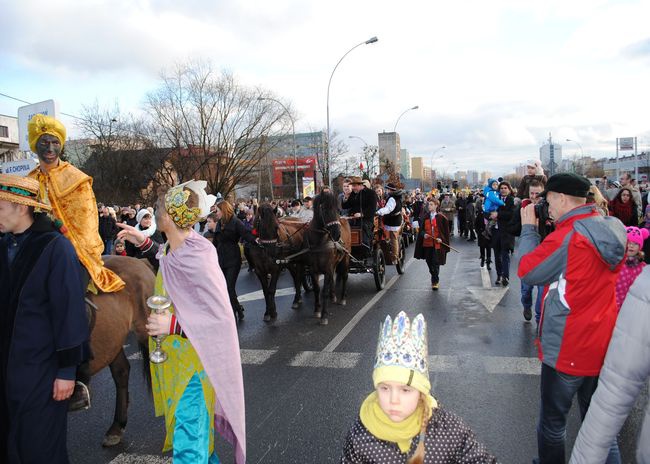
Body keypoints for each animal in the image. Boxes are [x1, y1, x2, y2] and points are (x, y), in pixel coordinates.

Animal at [302, 190, 350, 324]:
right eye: (324, 210)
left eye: (337, 209)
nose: (337, 234)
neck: (319, 242)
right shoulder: (313, 269)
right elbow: (317, 289)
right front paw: (317, 310)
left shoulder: (327, 268)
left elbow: (324, 291)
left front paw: (324, 315)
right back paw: (333, 296)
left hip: (345, 258)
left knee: (345, 276)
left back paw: (342, 298)